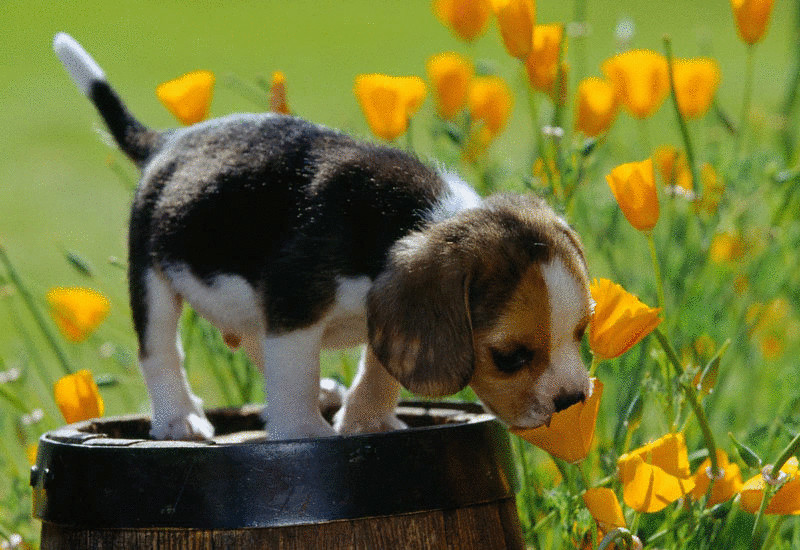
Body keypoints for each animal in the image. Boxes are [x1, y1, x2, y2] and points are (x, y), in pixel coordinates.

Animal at [54, 32, 592, 442]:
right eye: (510, 357)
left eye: (582, 331)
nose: (573, 402)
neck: (416, 220)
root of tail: (167, 143)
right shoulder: (295, 307)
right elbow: (294, 373)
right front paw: (303, 432)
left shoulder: (382, 315)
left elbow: (379, 368)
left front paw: (368, 420)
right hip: (152, 276)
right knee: (160, 351)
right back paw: (179, 420)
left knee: (255, 340)